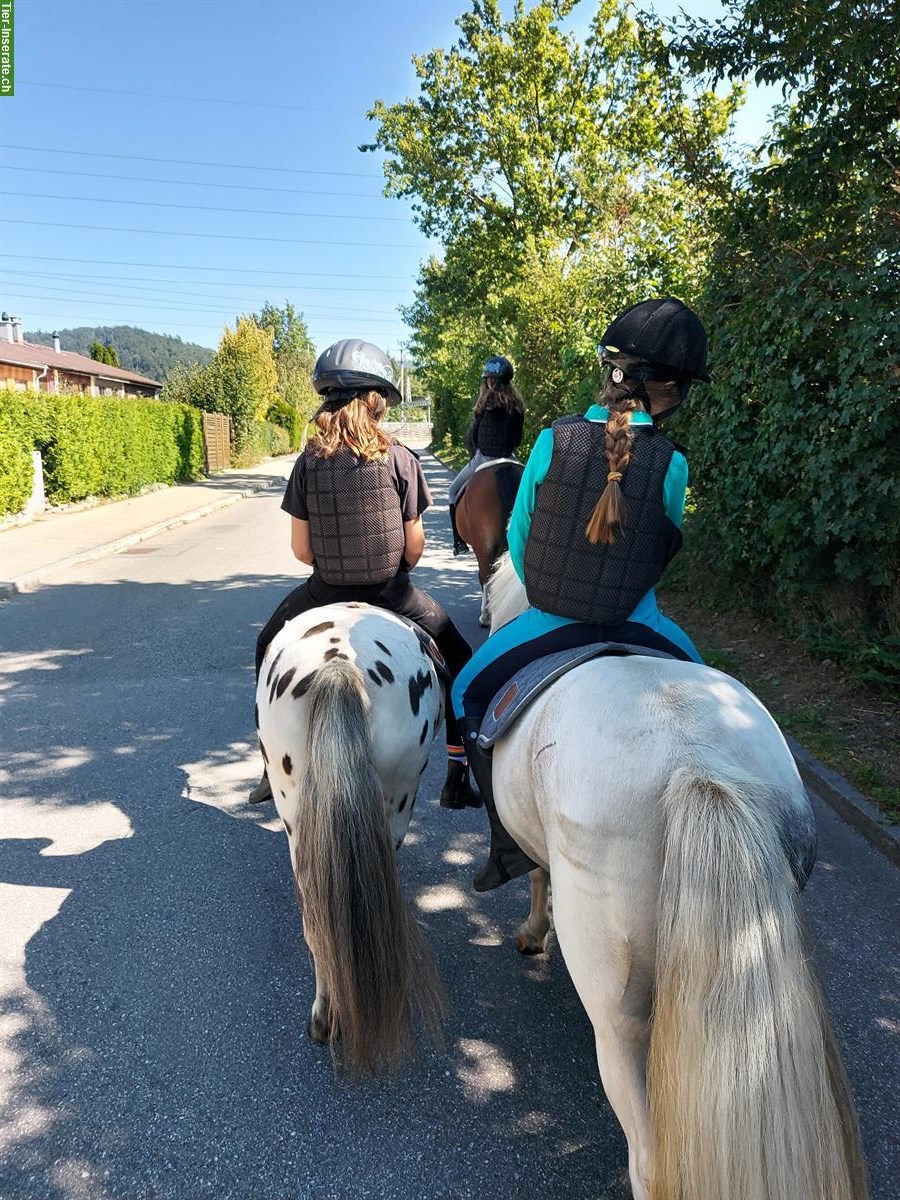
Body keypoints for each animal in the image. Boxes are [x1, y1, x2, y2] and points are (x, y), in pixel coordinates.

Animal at [482, 556, 868, 1200]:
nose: (484, 615)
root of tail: (695, 759)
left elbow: (535, 874)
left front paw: (533, 934)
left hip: (618, 1021)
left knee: (648, 1159)